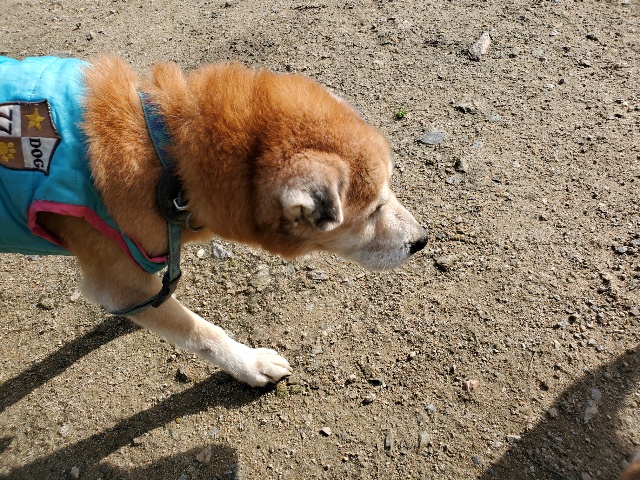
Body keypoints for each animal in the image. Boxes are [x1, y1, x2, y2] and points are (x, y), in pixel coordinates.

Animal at [0, 56, 427, 387]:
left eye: (390, 187)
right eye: (372, 210)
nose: (422, 240)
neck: (165, 153)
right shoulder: (117, 284)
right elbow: (201, 332)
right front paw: (251, 364)